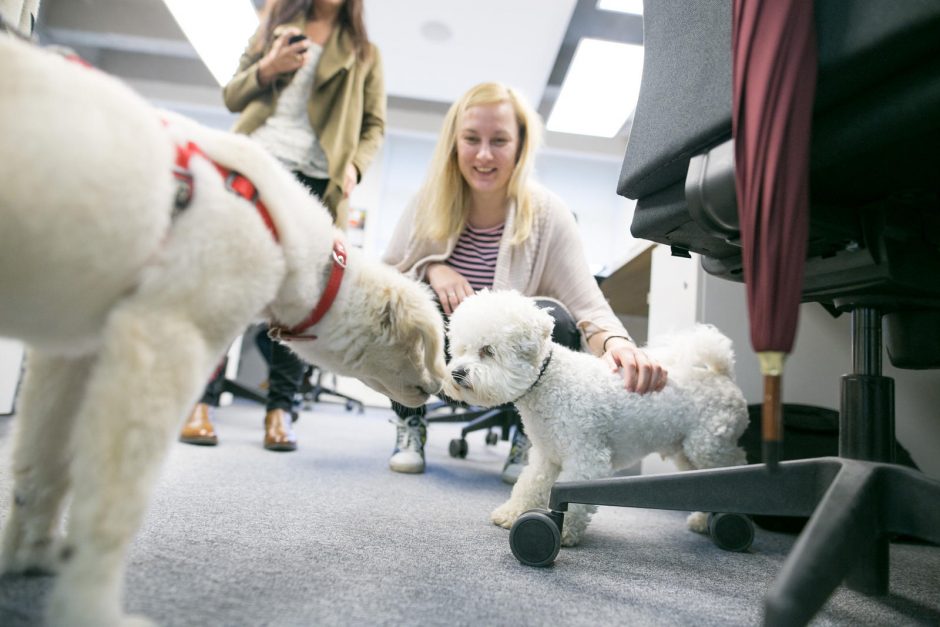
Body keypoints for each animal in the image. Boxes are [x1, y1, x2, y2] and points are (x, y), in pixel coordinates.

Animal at [0, 35, 448, 627]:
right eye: (431, 346)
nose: (443, 387)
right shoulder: (164, 341)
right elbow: (113, 503)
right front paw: (91, 606)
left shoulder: (72, 355)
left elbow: (42, 465)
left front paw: (30, 556)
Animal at [440, 292, 748, 548]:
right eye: (460, 349)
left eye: (488, 351)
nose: (456, 373)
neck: (549, 382)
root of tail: (721, 374)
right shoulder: (546, 455)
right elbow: (530, 484)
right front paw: (512, 512)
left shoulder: (586, 458)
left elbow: (573, 501)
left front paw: (563, 532)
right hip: (687, 453)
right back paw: (702, 520)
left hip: (708, 447)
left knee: (735, 467)